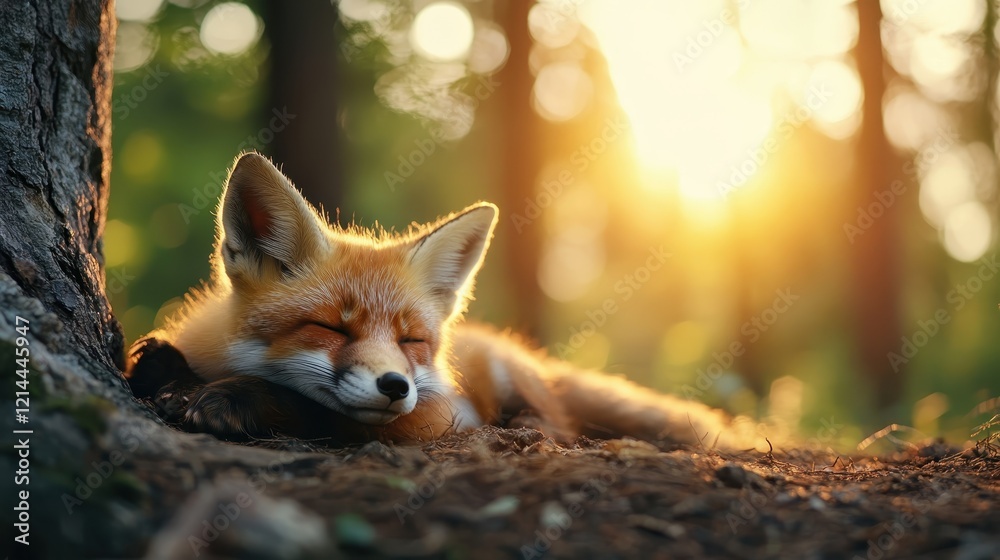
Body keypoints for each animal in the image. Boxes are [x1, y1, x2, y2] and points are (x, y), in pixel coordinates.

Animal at [124, 152, 745, 448]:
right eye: (332, 329)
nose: (396, 385)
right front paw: (167, 370)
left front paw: (233, 398)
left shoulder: (438, 415)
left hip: (508, 381)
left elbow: (313, 409)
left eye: (411, 341)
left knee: (558, 422)